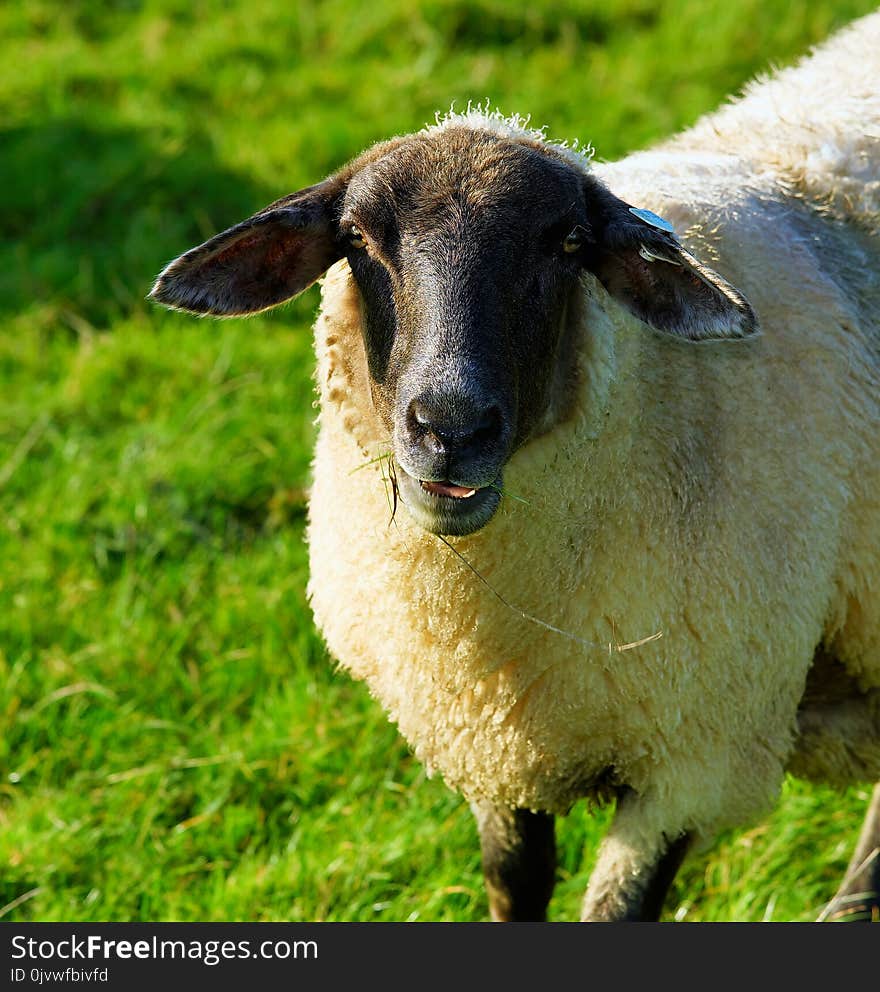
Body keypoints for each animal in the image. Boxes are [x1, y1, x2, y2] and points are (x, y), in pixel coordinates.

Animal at [150, 9, 880, 924]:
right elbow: (515, 884)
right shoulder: (496, 744)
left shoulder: (695, 758)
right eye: (356, 238)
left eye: (567, 243)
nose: (449, 427)